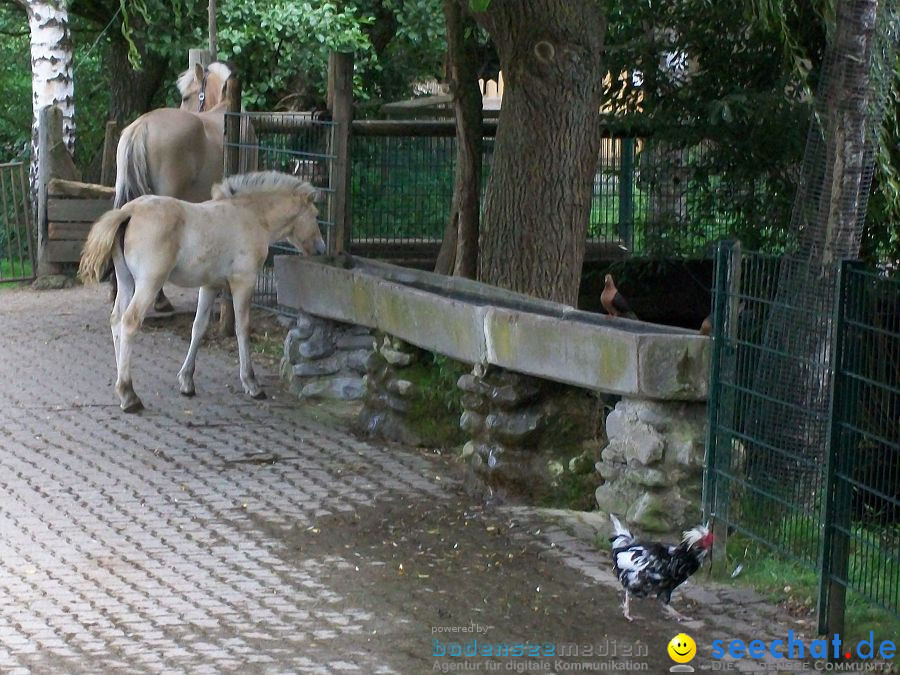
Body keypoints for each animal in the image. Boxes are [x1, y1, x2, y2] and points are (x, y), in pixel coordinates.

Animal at [77, 170, 324, 412]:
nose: (321, 249)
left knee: (116, 319)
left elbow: (199, 327)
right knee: (129, 322)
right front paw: (251, 383)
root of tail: (129, 211)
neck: (251, 216)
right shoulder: (243, 282)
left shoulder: (210, 285)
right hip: (149, 282)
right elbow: (242, 328)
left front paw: (186, 381)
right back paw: (129, 395)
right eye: (315, 214)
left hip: (126, 280)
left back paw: (122, 385)